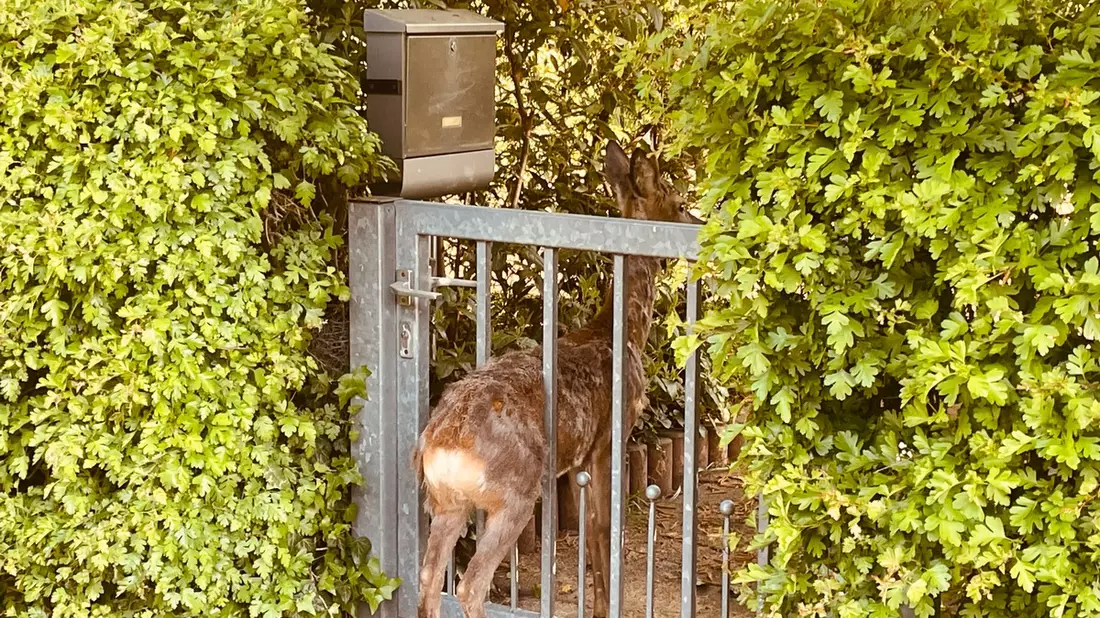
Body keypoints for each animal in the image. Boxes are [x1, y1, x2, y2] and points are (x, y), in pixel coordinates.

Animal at [414, 139, 700, 618]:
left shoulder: (579, 459)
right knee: (469, 584)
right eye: (679, 203)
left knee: (428, 580)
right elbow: (605, 527)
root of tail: (442, 444)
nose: (699, 224)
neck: (619, 334)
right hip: (515, 491)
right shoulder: (609, 437)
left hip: (446, 502)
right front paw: (608, 606)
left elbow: (590, 530)